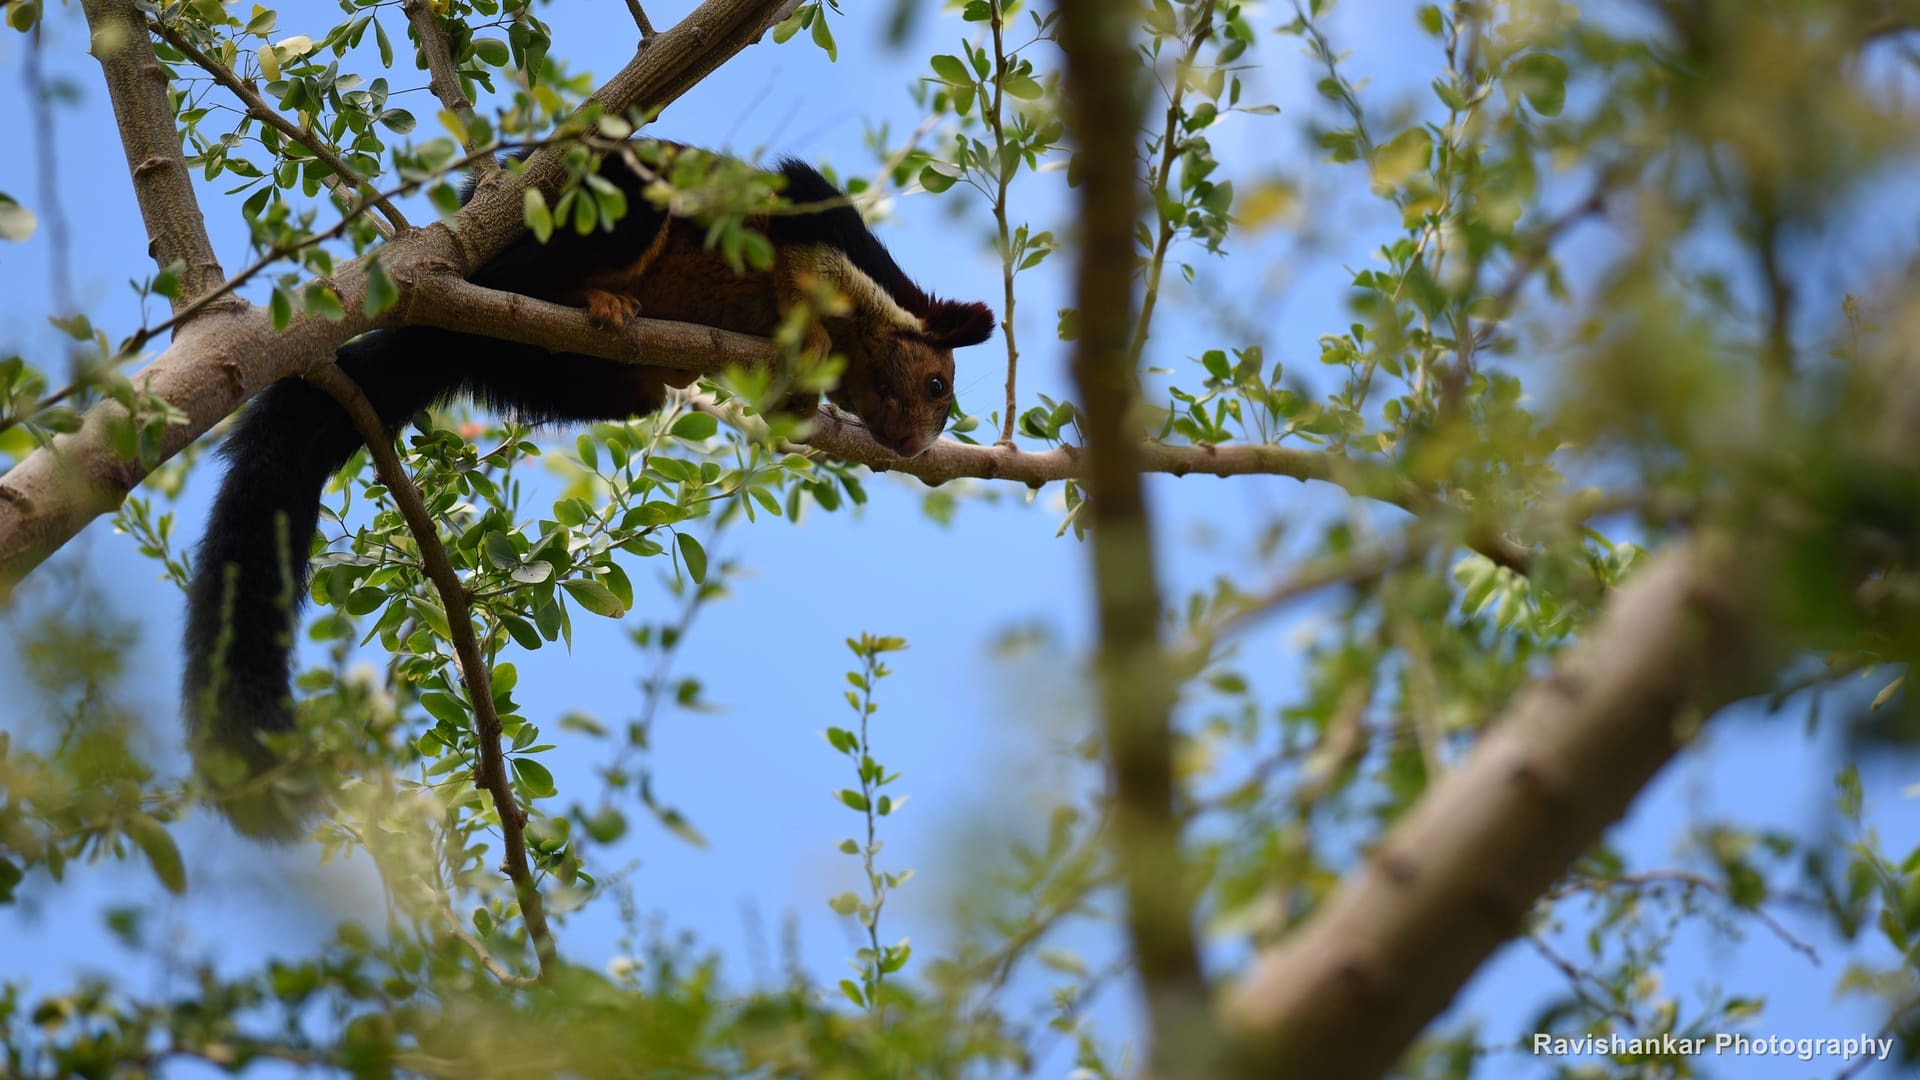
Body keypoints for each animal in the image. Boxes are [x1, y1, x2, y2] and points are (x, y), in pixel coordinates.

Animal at [183, 143, 996, 836]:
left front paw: (802, 397)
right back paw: (598, 299)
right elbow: (800, 259)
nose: (914, 446)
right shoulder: (811, 215)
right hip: (599, 219)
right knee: (550, 272)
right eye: (936, 384)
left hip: (558, 372)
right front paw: (814, 338)